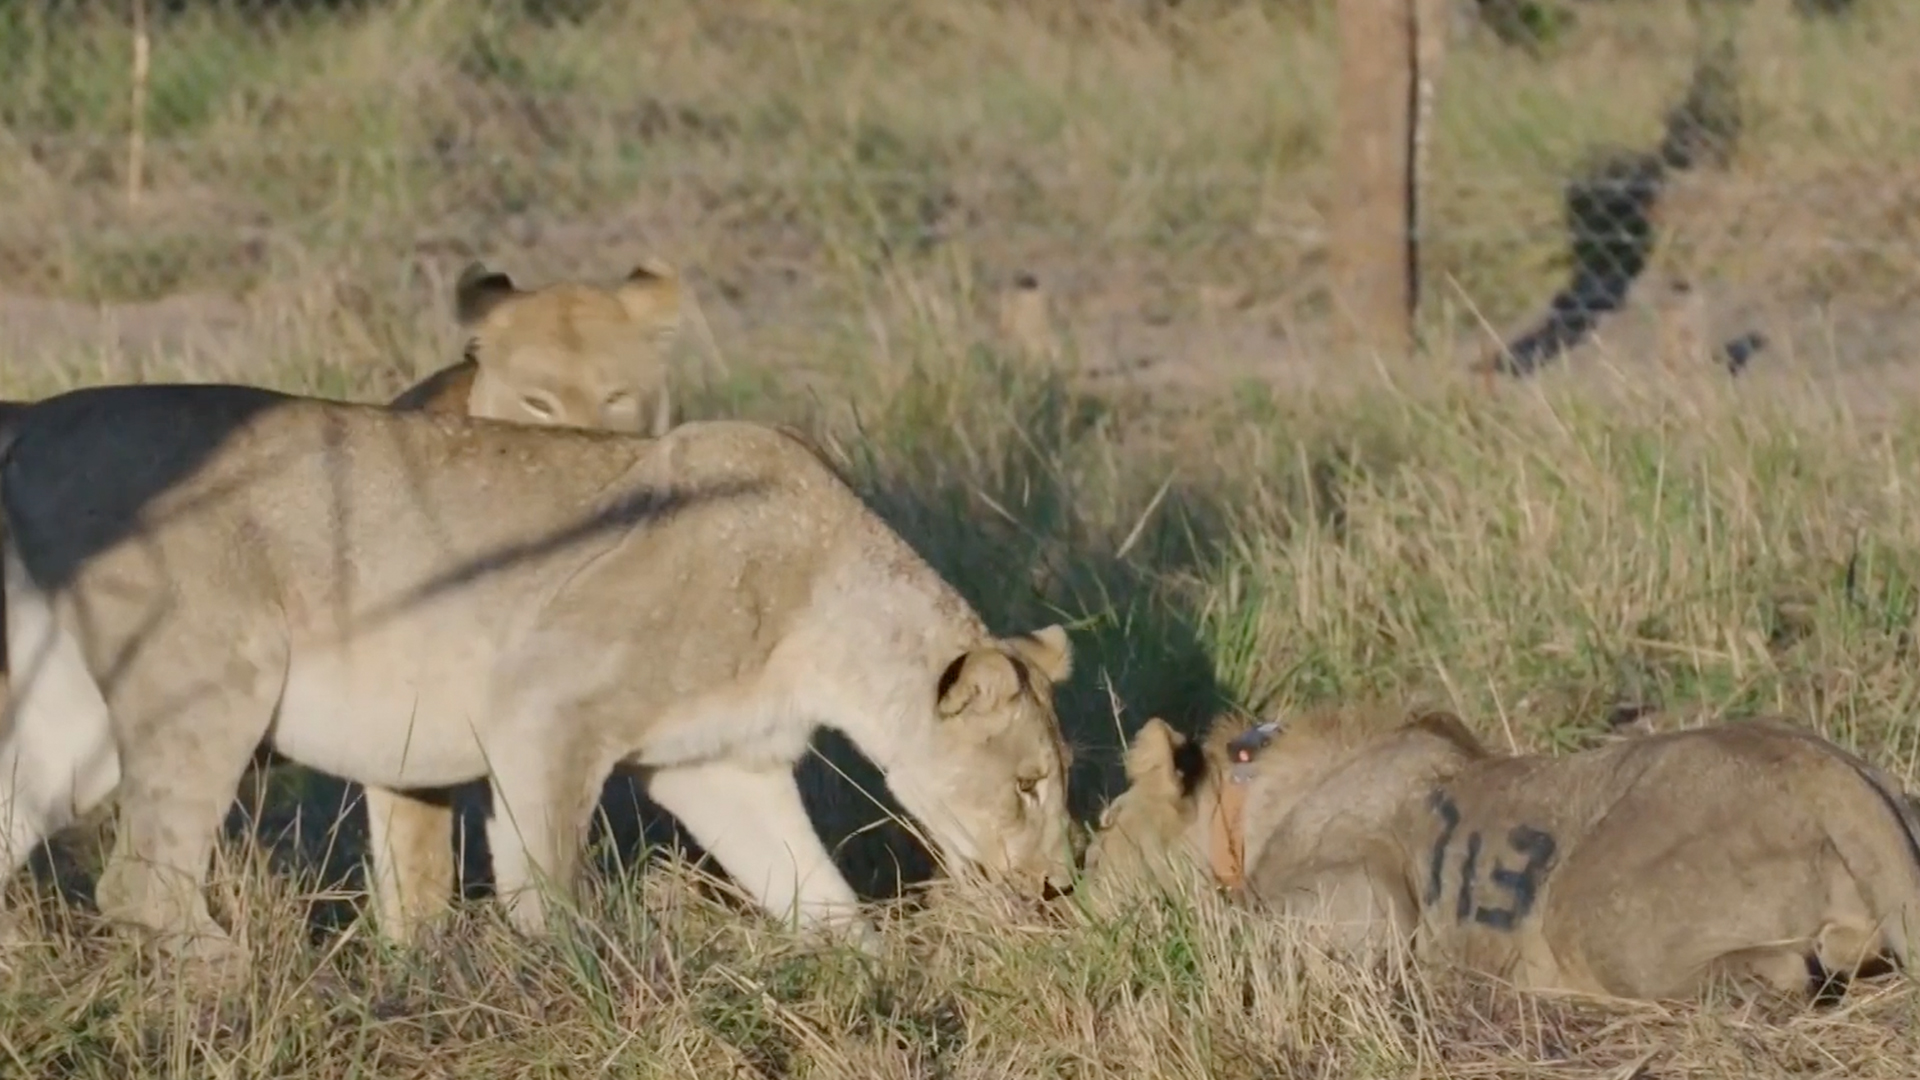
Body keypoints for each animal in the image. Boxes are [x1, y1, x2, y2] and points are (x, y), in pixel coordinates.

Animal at [0, 382, 1082, 960]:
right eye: (1029, 784)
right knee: (138, 884)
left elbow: (815, 891)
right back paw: (239, 973)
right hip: (219, 674)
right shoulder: (544, 705)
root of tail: (36, 417)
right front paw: (569, 973)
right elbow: (545, 878)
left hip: (73, 729)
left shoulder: (720, 766)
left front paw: (874, 975)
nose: (1058, 888)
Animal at [1090, 703, 1920, 999]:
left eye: (1101, 836)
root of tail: (1824, 769)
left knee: (1785, 974)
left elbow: (1241, 925)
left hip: (1585, 909)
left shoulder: (1370, 902)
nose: (1070, 896)